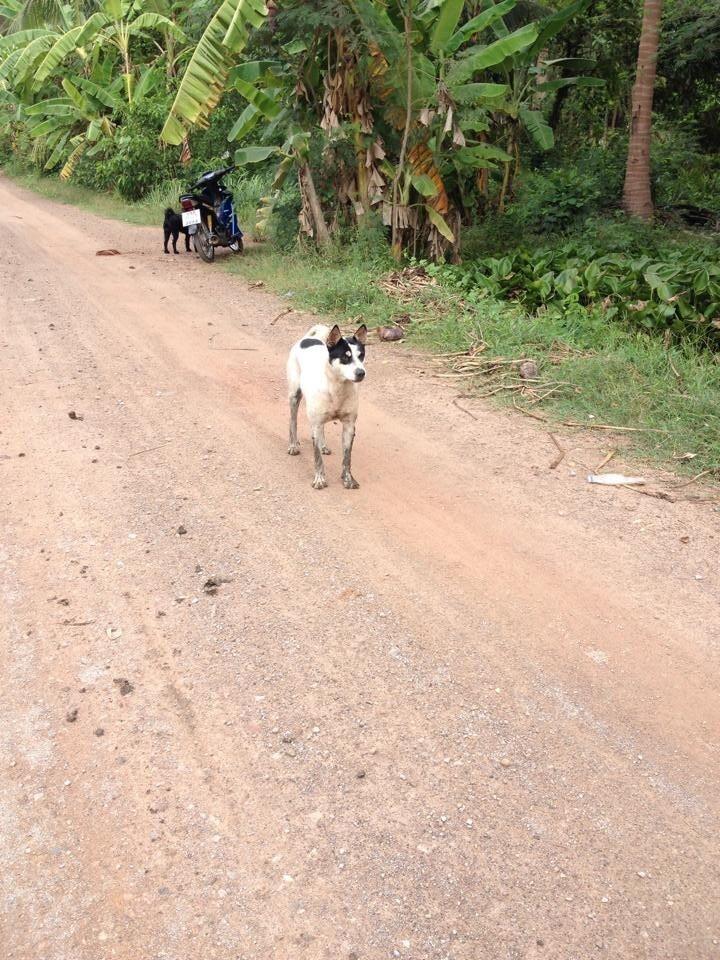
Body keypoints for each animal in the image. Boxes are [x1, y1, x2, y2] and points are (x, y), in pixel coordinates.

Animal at [286, 322, 366, 488]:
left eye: (361, 355)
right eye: (345, 357)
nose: (361, 373)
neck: (337, 387)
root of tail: (308, 338)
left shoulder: (349, 426)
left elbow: (347, 458)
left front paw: (348, 479)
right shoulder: (315, 425)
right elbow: (317, 458)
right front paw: (319, 479)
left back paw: (323, 446)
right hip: (294, 396)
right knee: (293, 421)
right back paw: (293, 445)